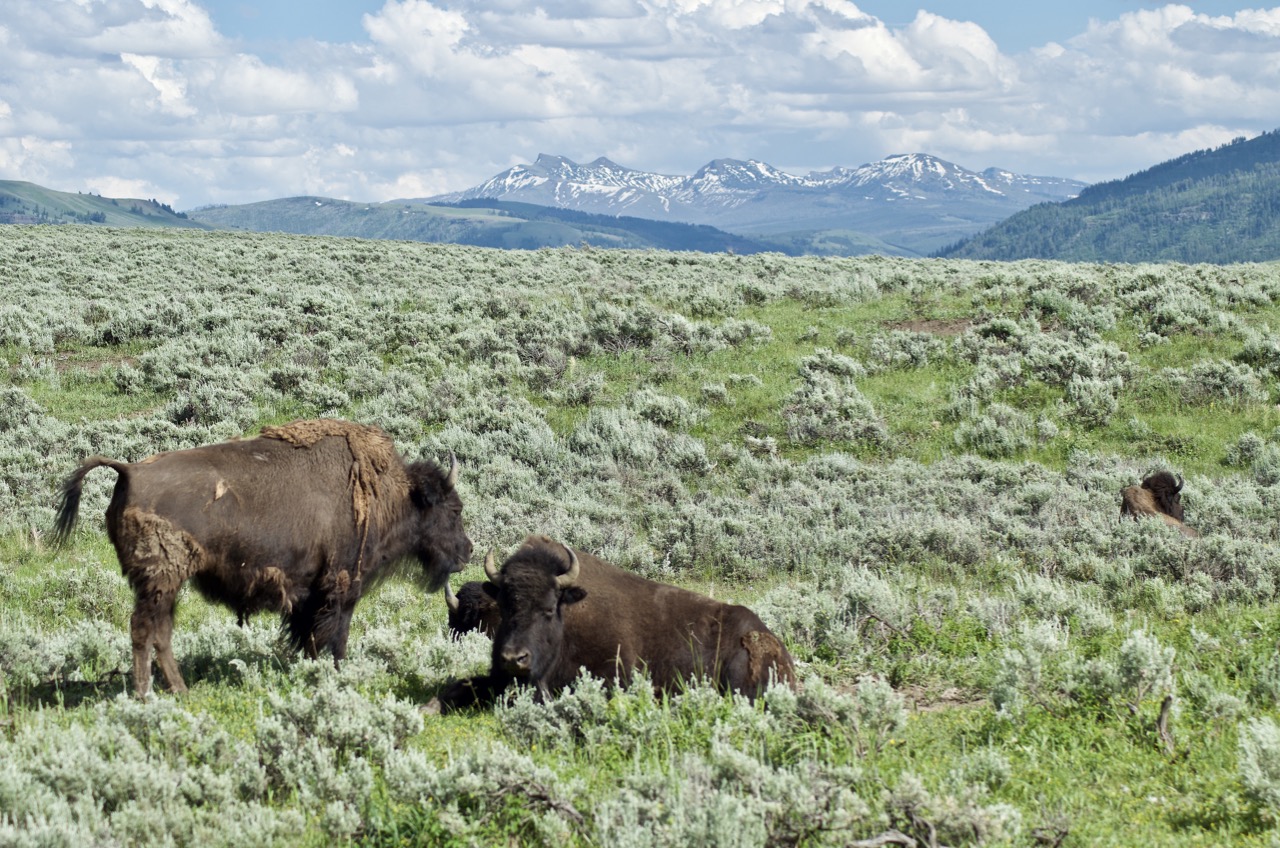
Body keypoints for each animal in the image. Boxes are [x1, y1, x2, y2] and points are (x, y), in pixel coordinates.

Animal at [53, 417, 476, 696]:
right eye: (453, 509)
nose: (467, 551)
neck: (386, 493)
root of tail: (128, 471)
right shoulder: (341, 588)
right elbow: (335, 638)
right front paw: (336, 676)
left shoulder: (310, 595)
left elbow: (309, 637)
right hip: (161, 579)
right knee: (144, 630)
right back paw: (147, 695)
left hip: (165, 585)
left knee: (161, 633)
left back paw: (181, 691)